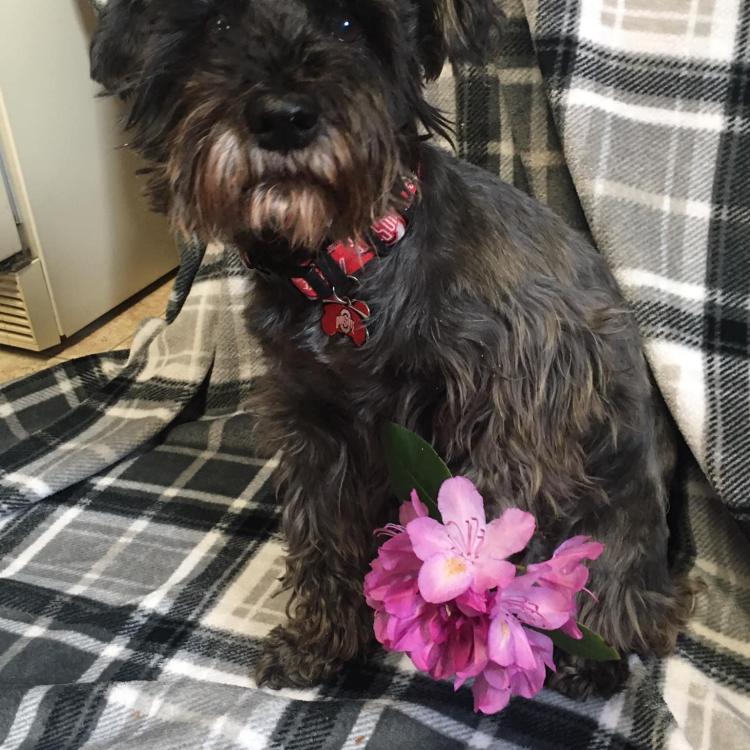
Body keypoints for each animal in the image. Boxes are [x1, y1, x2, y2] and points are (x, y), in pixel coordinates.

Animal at [91, 0, 696, 700]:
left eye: (351, 26)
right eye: (216, 25)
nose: (283, 117)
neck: (347, 273)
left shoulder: (526, 390)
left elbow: (485, 511)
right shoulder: (311, 420)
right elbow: (321, 531)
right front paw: (319, 643)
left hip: (621, 515)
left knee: (621, 587)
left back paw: (596, 652)